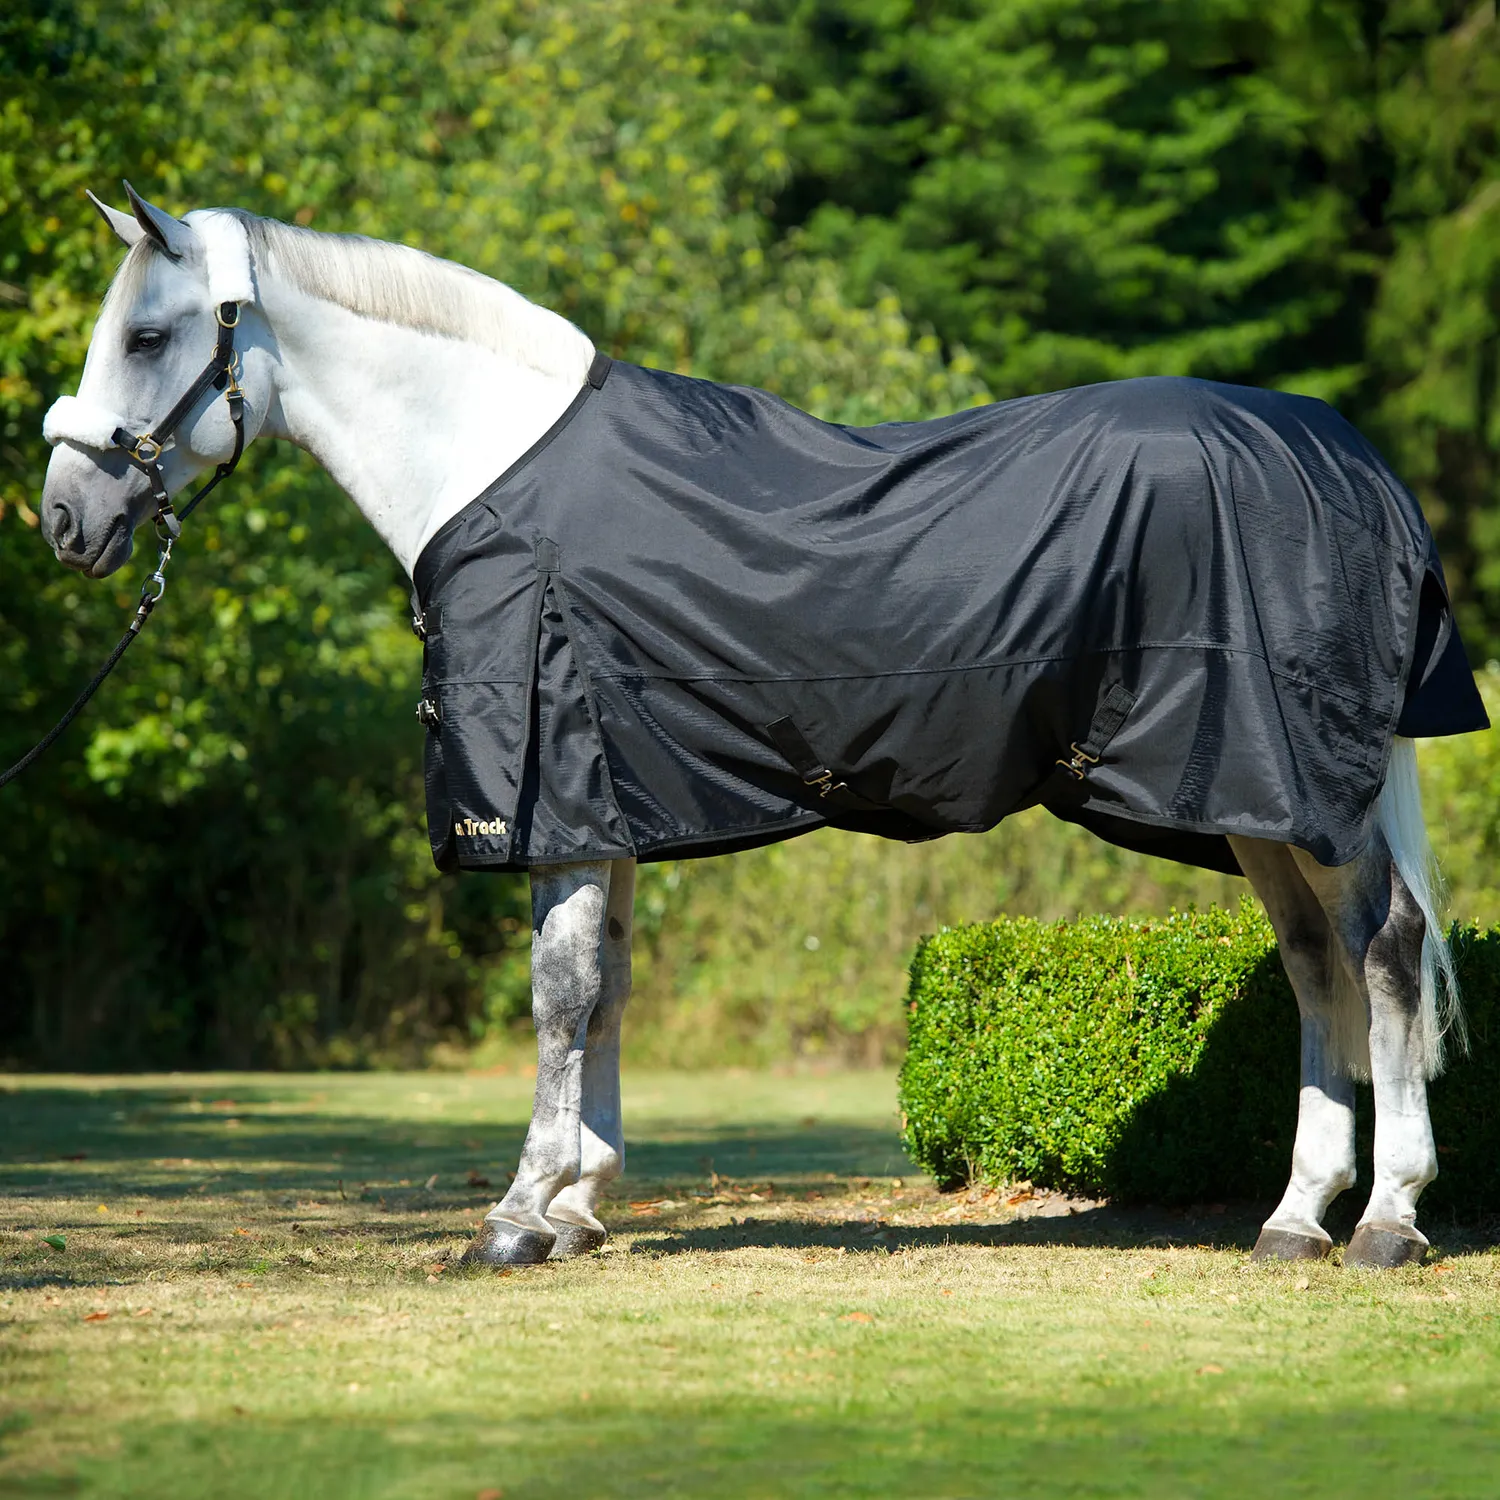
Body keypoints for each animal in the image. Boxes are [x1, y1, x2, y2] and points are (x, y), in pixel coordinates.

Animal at [39, 186, 1489, 1271]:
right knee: (1313, 963)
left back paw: (1389, 1221)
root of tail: (1355, 466)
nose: (62, 516)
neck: (487, 462)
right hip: (1258, 801)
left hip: (1307, 794)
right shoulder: (609, 803)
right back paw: (1295, 1219)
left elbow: (559, 997)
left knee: (1384, 950)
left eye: (149, 337)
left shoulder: (559, 796)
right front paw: (579, 1207)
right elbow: (607, 988)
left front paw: (515, 1217)